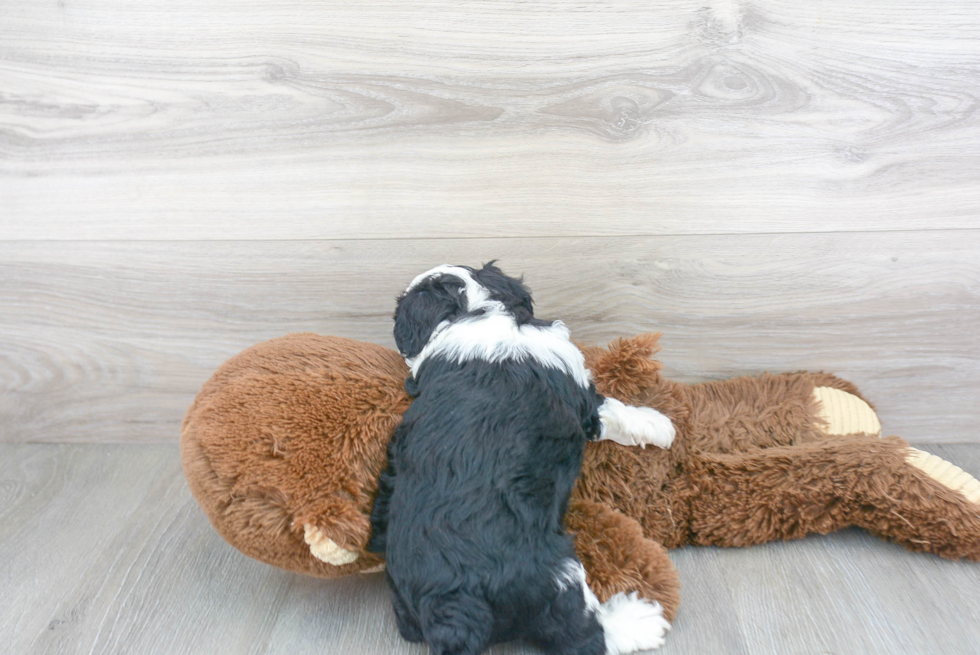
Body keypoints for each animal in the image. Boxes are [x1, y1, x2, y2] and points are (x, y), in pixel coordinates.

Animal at [368, 262, 672, 655]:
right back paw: (639, 621)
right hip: (556, 573)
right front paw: (659, 425)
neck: (472, 310)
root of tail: (455, 604)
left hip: (406, 604)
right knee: (580, 632)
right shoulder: (580, 393)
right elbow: (613, 410)